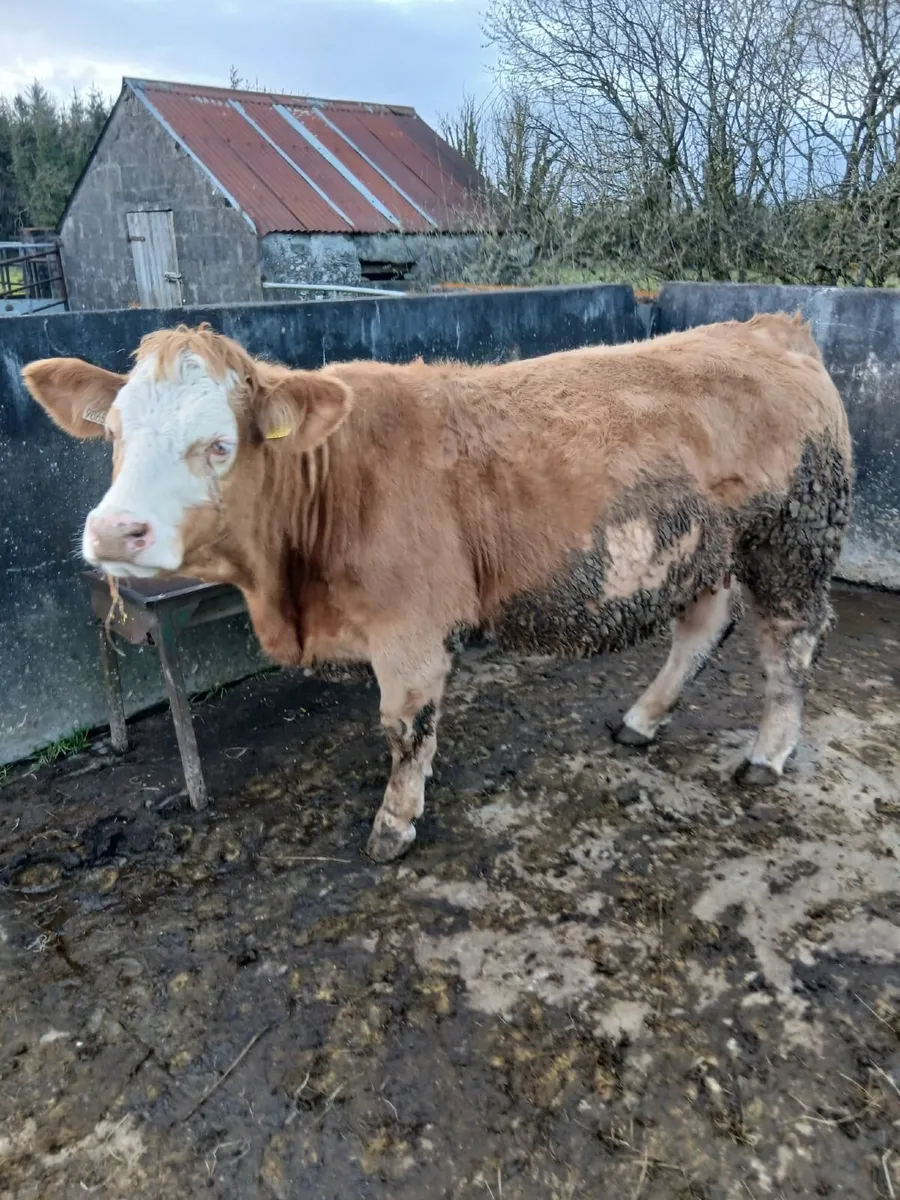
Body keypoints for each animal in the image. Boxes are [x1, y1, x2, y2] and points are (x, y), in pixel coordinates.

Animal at [21, 314, 852, 862]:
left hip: (791, 540)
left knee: (790, 642)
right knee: (702, 627)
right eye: (113, 434)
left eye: (220, 444)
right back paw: (642, 719)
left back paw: (768, 754)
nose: (114, 532)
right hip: (701, 546)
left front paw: (394, 822)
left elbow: (407, 728)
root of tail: (768, 326)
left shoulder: (411, 631)